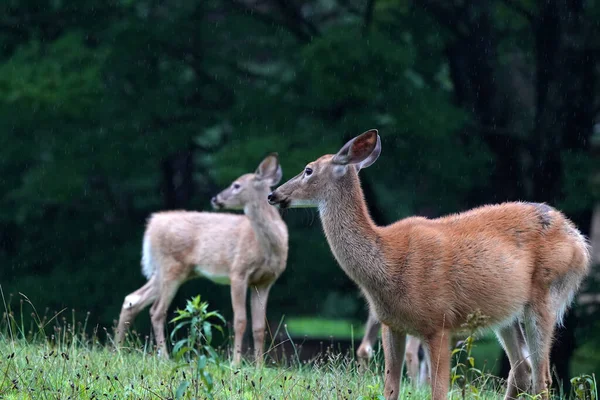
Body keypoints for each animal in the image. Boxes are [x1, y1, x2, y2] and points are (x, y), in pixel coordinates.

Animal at [117, 154, 288, 366]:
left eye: (237, 185)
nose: (215, 198)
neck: (267, 247)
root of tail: (151, 225)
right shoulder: (238, 272)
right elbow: (240, 320)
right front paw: (235, 363)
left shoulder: (265, 281)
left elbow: (259, 327)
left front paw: (259, 366)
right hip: (171, 266)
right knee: (156, 311)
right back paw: (164, 357)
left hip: (172, 271)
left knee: (132, 299)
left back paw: (117, 349)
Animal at [268, 130, 592, 398]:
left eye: (308, 169)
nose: (274, 194)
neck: (386, 261)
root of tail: (580, 242)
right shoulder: (391, 324)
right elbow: (391, 389)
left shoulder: (439, 322)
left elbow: (438, 391)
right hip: (506, 313)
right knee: (522, 370)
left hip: (547, 294)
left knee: (542, 377)